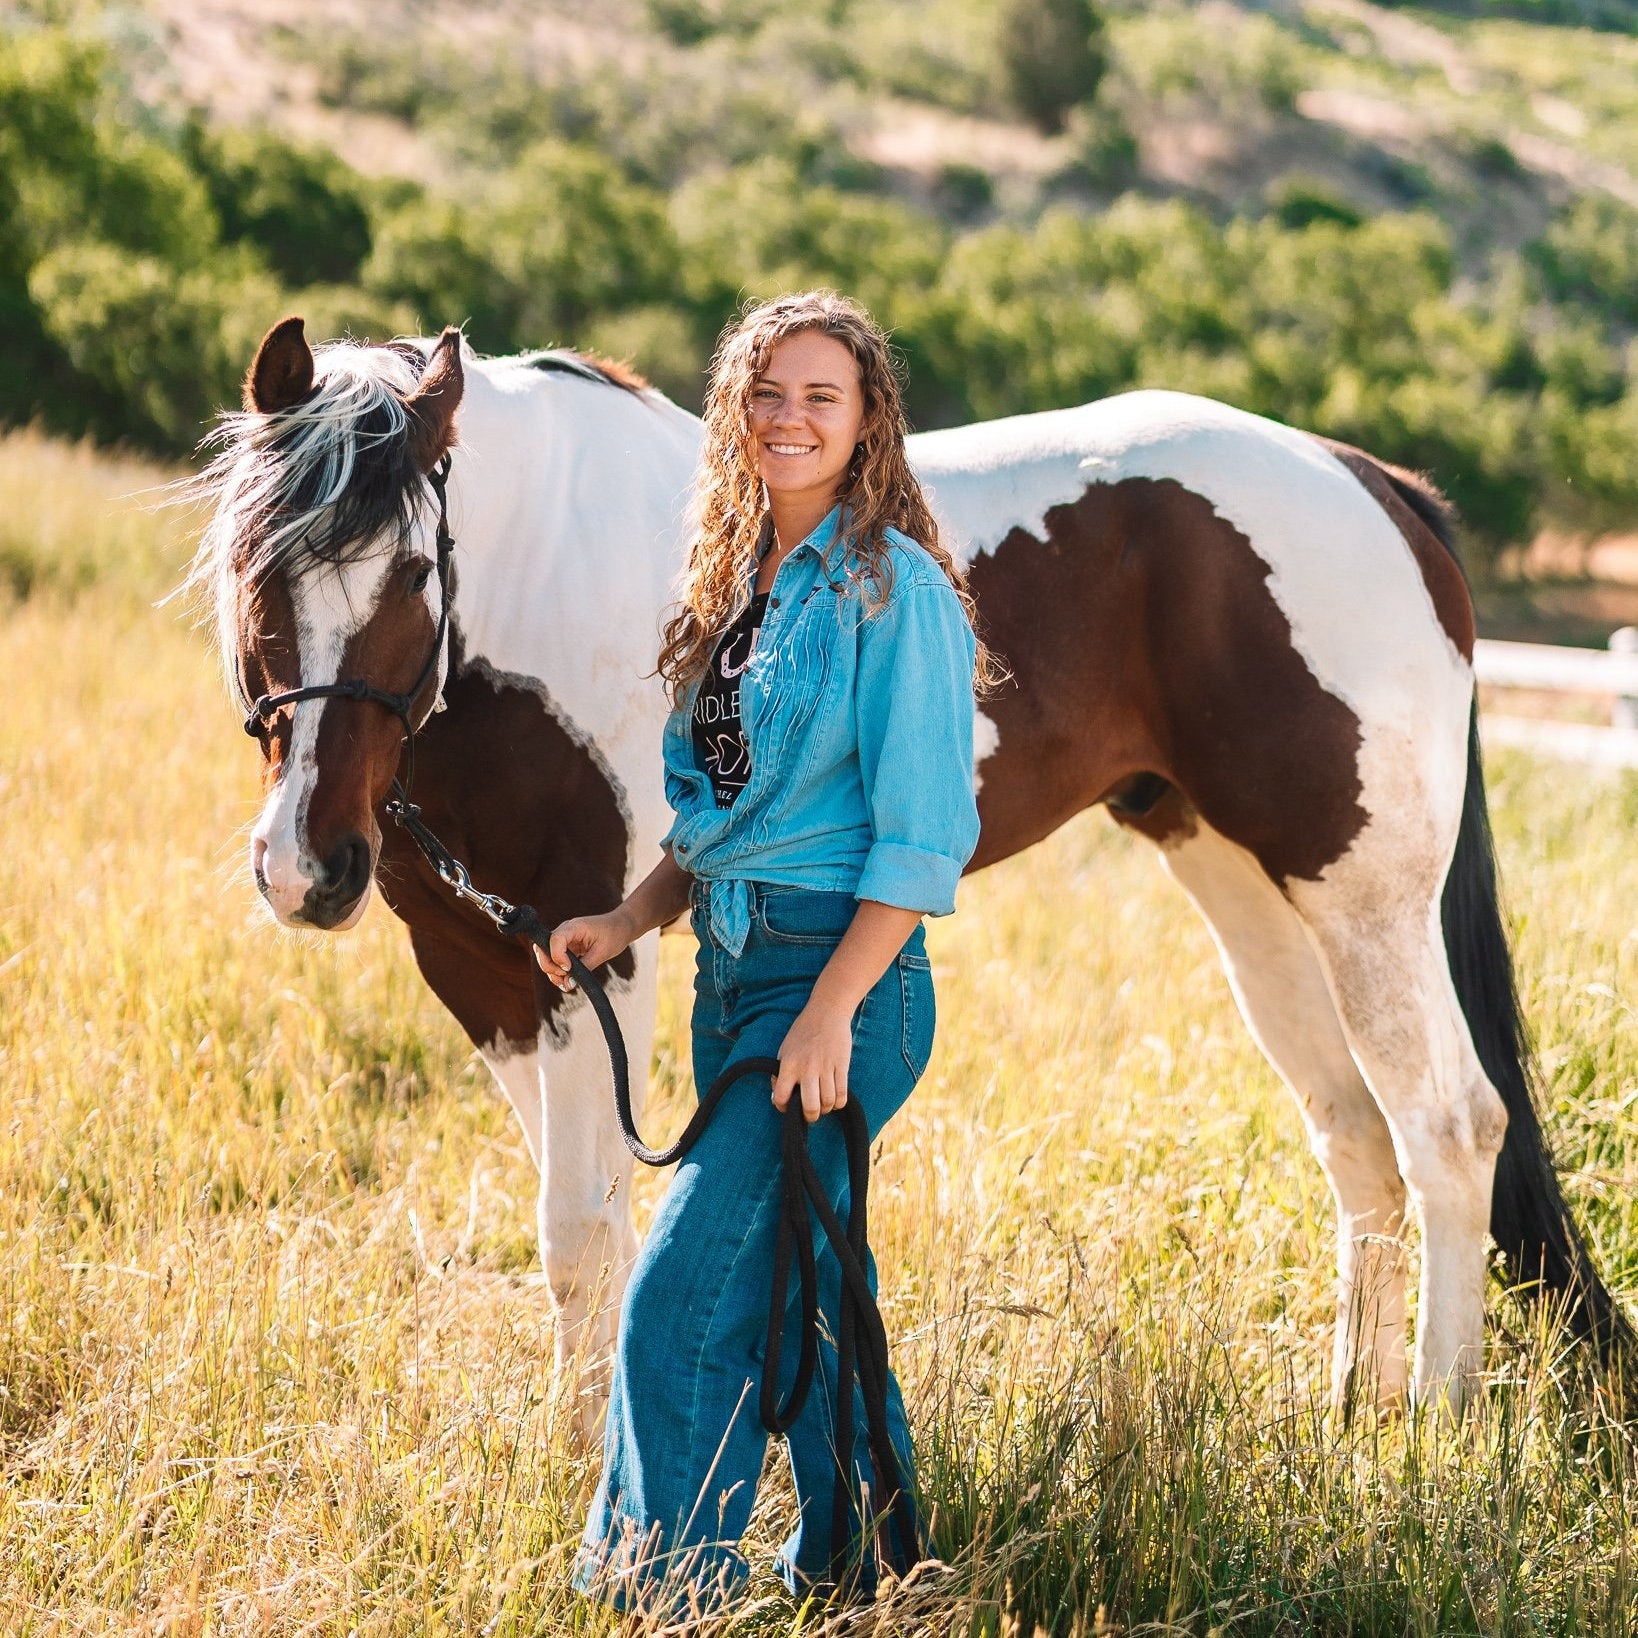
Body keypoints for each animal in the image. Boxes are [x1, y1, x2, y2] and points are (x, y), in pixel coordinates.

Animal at [193, 314, 1628, 1419]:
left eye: (412, 571)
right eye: (256, 564)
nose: (311, 865)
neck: (540, 585)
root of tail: (1368, 481)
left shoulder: (601, 952)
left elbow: (589, 1225)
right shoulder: (490, 965)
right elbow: (567, 1230)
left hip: (1364, 898)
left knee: (1450, 1127)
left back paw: (1426, 1431)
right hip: (1248, 895)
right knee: (1355, 1137)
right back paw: (1348, 1415)